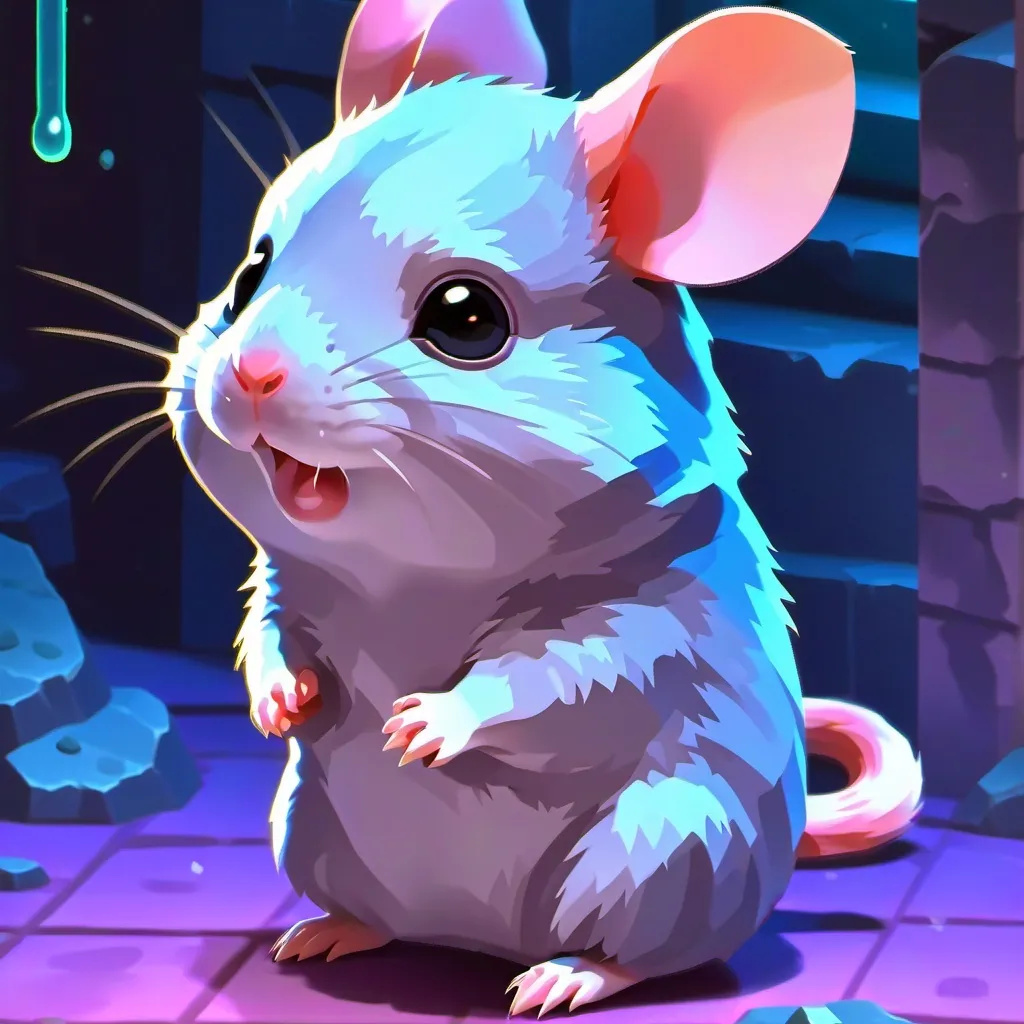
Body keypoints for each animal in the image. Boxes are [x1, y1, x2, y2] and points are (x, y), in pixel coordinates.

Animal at [166, 0, 923, 1015]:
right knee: (375, 913)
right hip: (305, 827)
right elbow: (270, 630)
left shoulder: (646, 621)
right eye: (250, 274)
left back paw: (564, 975)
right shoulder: (288, 580)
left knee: (637, 950)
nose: (250, 375)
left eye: (467, 317)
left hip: (660, 848)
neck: (408, 579)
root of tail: (473, 938)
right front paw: (281, 704)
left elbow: (562, 677)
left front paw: (424, 724)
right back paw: (331, 931)